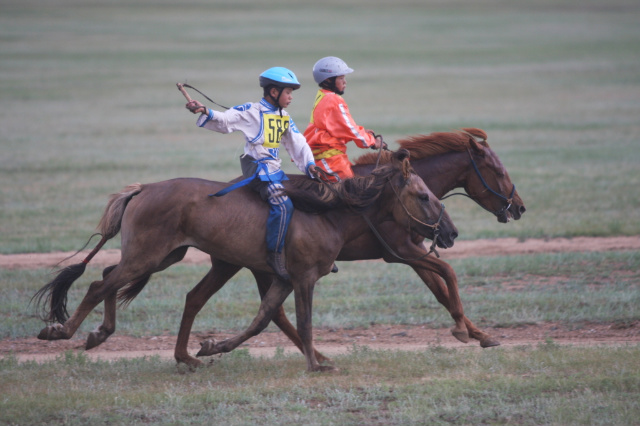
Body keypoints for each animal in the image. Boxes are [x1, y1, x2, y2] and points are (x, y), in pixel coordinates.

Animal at [35, 148, 458, 372]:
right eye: (423, 195)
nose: (450, 232)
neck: (327, 212)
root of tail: (144, 188)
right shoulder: (303, 278)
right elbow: (302, 322)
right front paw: (316, 364)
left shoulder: (283, 279)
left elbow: (261, 320)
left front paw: (212, 347)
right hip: (148, 256)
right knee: (98, 283)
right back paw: (63, 331)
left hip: (162, 257)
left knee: (114, 276)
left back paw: (130, 341)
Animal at [171, 126, 524, 366]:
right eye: (499, 170)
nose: (518, 207)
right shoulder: (402, 252)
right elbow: (448, 275)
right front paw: (467, 331)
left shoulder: (413, 253)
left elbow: (441, 291)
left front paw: (479, 334)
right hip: (242, 264)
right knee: (268, 311)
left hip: (240, 265)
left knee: (208, 300)